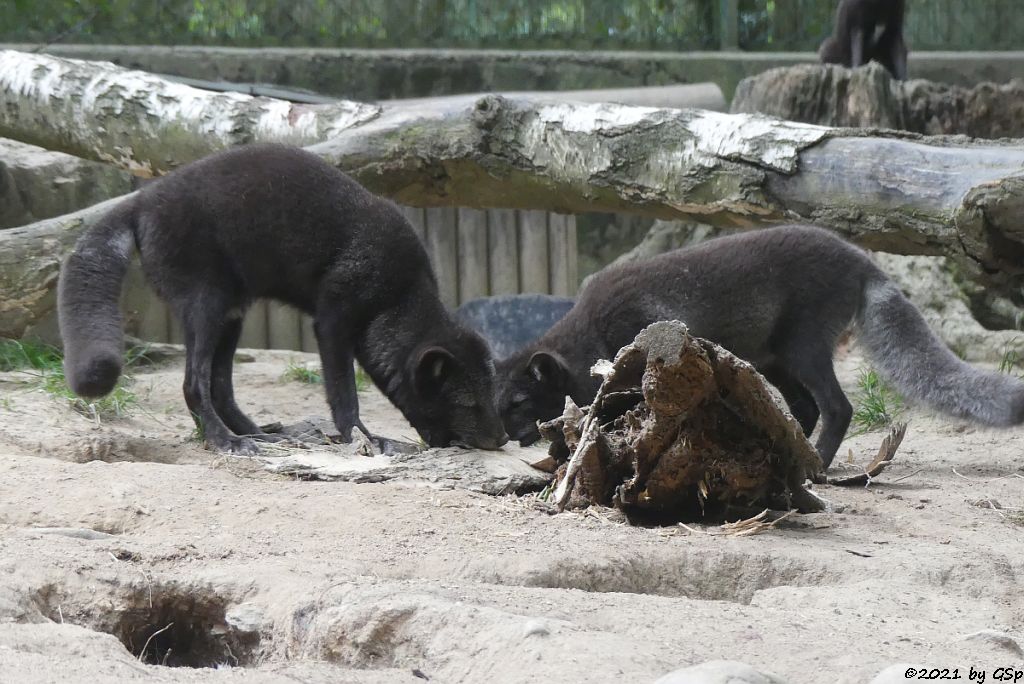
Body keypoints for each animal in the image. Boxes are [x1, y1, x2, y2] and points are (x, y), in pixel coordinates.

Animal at [57, 144, 507, 454]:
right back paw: (226, 441)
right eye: (469, 403)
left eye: (492, 395)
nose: (503, 439)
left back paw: (259, 434)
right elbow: (343, 394)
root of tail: (141, 201)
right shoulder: (331, 324)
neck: (395, 298)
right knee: (194, 384)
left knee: (220, 385)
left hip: (232, 314)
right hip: (205, 306)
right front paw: (363, 438)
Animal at [495, 227, 1024, 466]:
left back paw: (820, 467)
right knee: (805, 410)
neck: (594, 333)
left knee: (838, 407)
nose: (497, 437)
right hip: (776, 360)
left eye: (519, 402)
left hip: (803, 350)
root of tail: (862, 260)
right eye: (497, 405)